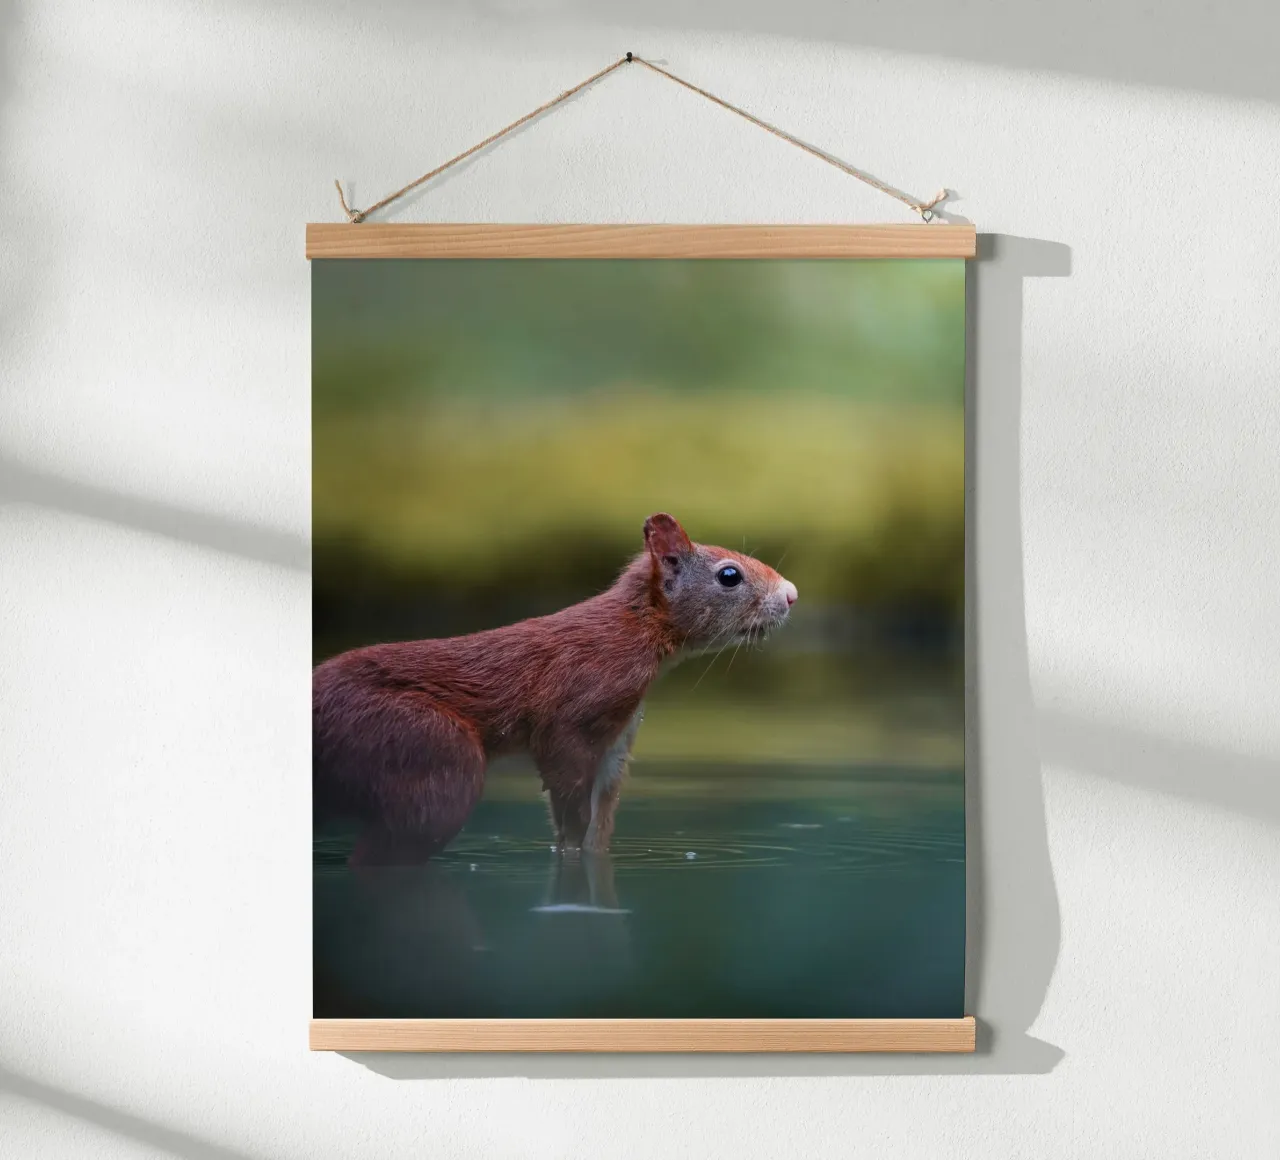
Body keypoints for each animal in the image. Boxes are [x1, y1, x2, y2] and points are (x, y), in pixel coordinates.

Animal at [313, 513, 797, 866]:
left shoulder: (617, 740)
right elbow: (569, 799)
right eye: (729, 575)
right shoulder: (573, 712)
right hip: (425, 749)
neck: (634, 631)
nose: (791, 595)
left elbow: (599, 822)